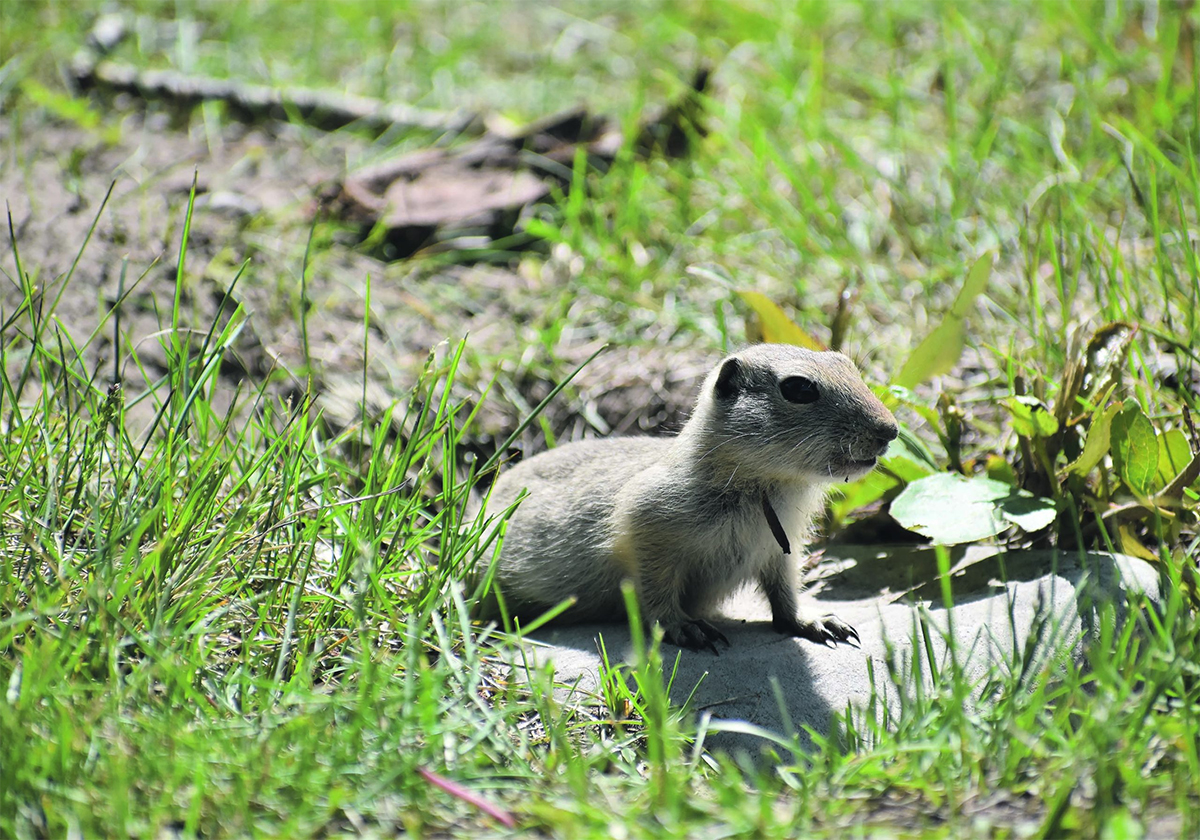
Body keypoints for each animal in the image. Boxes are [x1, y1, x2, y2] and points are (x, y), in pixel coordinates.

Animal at [478, 343, 898, 653]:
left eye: (849, 366)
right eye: (798, 388)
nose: (890, 430)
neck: (764, 488)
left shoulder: (783, 548)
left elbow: (785, 591)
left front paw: (816, 621)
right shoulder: (645, 531)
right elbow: (655, 590)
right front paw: (685, 628)